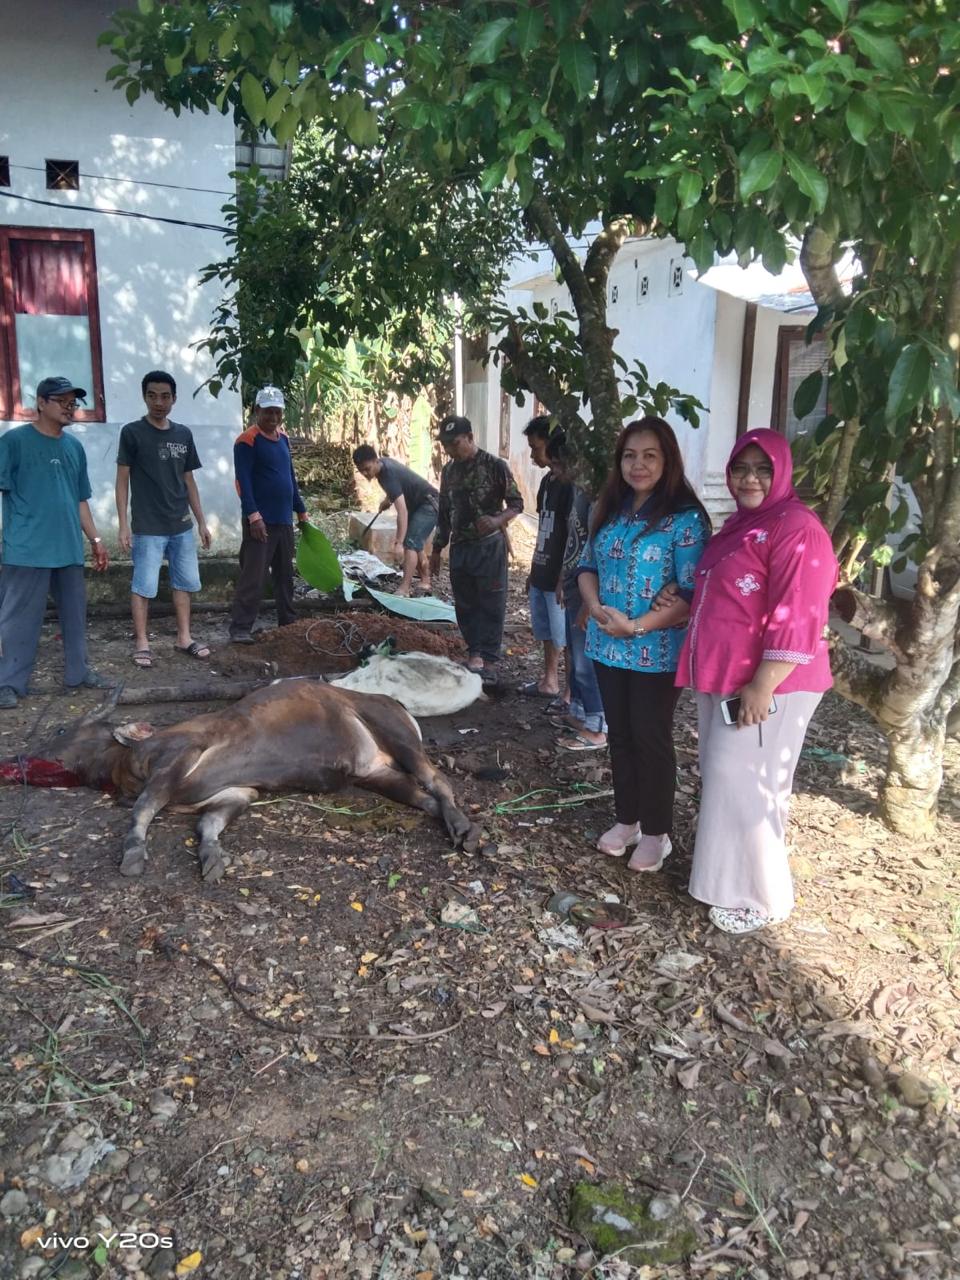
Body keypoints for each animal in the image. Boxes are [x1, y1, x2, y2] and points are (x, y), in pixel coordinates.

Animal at [37, 680, 481, 880]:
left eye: (63, 729)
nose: (42, 746)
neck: (127, 761)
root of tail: (399, 705)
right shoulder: (236, 793)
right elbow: (207, 825)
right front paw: (212, 857)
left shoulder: (180, 756)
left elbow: (144, 808)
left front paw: (132, 853)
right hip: (376, 773)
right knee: (424, 797)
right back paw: (455, 825)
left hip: (398, 738)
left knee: (438, 781)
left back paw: (465, 828)